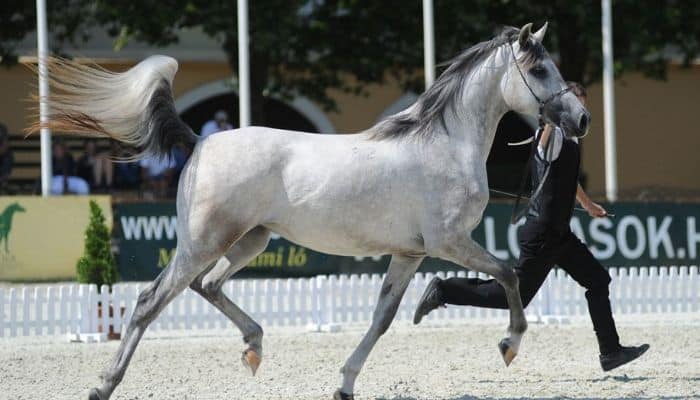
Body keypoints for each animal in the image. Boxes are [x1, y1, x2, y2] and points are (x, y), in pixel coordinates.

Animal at [32, 23, 592, 400]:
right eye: (540, 69)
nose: (582, 119)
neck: (445, 143)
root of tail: (200, 142)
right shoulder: (449, 243)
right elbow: (509, 275)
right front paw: (510, 345)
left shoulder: (410, 254)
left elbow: (383, 319)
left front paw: (345, 383)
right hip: (205, 242)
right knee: (151, 301)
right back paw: (104, 384)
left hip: (250, 240)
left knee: (207, 286)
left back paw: (254, 347)